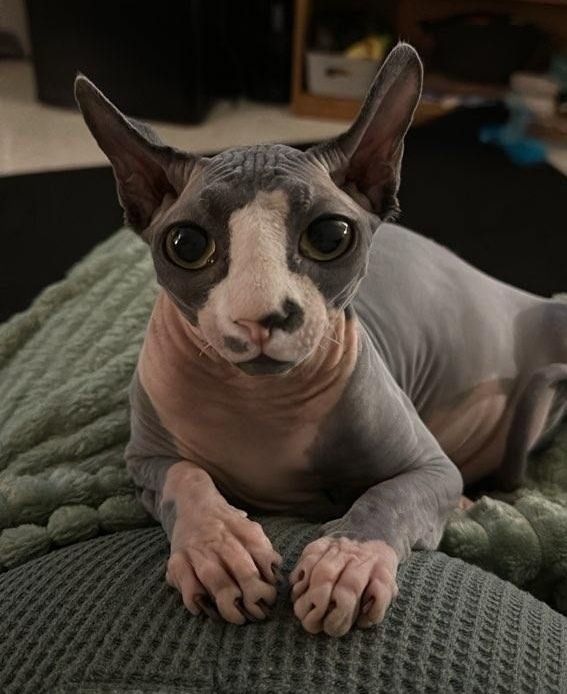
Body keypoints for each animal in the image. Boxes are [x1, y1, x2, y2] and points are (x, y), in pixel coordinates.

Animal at [75, 43, 567, 640]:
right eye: (187, 244)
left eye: (330, 236)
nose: (261, 315)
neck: (260, 405)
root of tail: (526, 298)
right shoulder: (144, 461)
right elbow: (186, 477)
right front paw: (220, 554)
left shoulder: (432, 469)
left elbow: (387, 495)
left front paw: (346, 564)